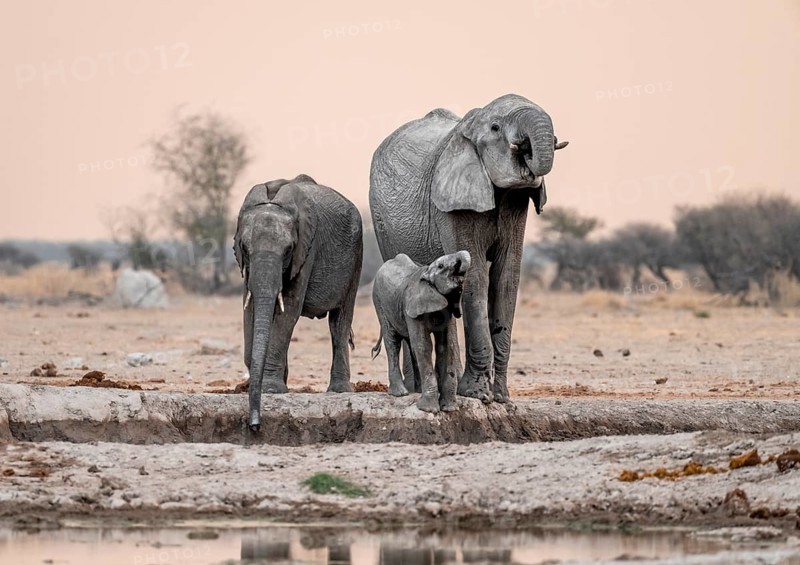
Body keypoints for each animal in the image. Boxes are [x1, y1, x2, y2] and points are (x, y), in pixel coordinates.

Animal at [234, 174, 363, 431]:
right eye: (244, 247)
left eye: (288, 250)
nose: (255, 426)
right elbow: (250, 309)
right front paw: (256, 385)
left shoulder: (306, 250)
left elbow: (289, 310)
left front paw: (271, 389)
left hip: (357, 255)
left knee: (339, 322)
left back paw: (339, 391)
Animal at [371, 251, 471, 412]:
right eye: (441, 266)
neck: (426, 271)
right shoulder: (412, 305)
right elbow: (424, 346)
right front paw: (428, 409)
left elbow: (446, 345)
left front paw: (449, 408)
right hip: (379, 302)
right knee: (393, 342)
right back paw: (400, 394)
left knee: (410, 344)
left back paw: (417, 391)